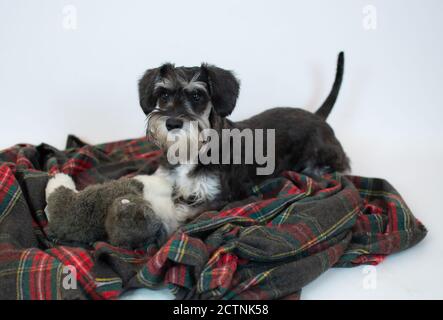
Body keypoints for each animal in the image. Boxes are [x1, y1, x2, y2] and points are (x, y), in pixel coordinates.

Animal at [139, 51, 350, 209]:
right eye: (164, 95)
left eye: (197, 96)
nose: (172, 123)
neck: (190, 151)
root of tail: (317, 116)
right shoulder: (165, 181)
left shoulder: (215, 198)